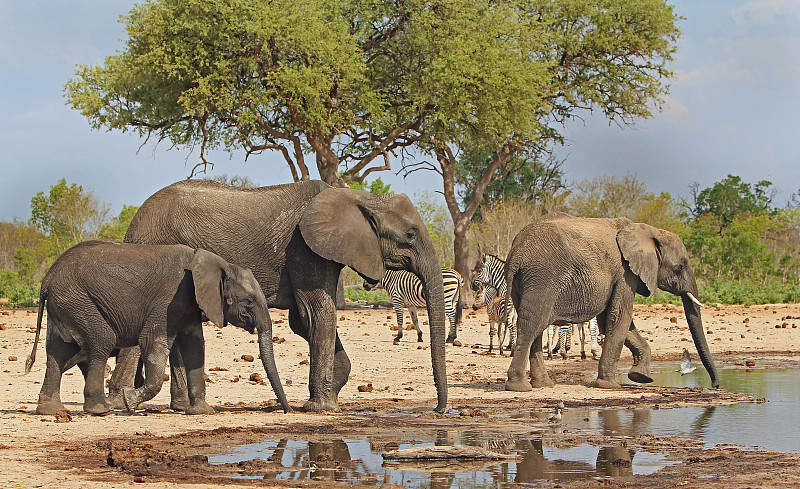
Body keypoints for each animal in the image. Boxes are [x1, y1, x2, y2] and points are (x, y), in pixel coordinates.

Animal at [26, 238, 290, 414]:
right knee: (101, 341)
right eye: (249, 301)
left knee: (57, 352)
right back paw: (100, 409)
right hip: (78, 300)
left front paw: (202, 411)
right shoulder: (169, 300)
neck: (219, 264)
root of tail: (46, 280)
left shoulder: (188, 304)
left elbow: (195, 347)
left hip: (65, 305)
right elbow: (153, 343)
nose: (286, 411)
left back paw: (50, 410)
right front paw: (128, 402)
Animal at [506, 214, 720, 392]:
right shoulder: (625, 273)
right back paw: (519, 387)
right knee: (532, 326)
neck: (650, 231)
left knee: (535, 327)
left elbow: (618, 321)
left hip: (525, 283)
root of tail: (516, 252)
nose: (715, 385)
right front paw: (609, 385)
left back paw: (543, 385)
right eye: (680, 267)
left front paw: (640, 377)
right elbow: (620, 318)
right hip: (543, 279)